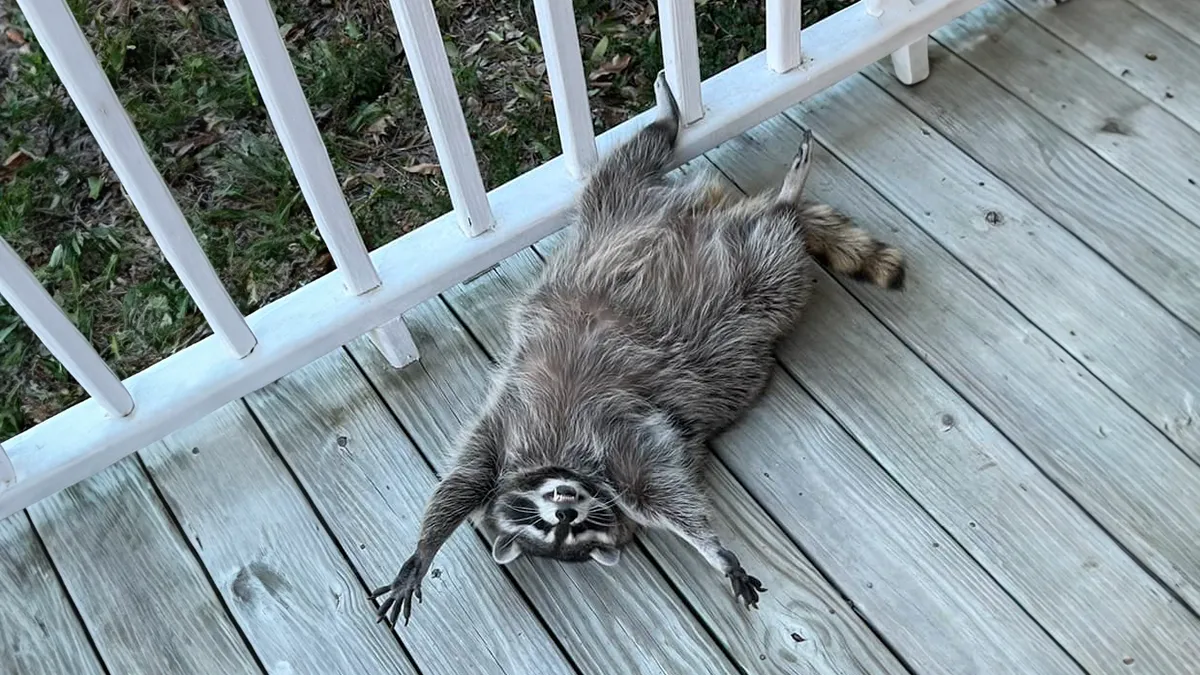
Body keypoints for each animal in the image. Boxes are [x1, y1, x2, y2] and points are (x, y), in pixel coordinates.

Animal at [370, 71, 906, 626]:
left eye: (567, 524)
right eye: (550, 530)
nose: (566, 507)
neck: (563, 459)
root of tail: (707, 211)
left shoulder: (523, 431)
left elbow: (464, 481)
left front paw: (421, 551)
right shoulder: (613, 452)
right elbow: (660, 490)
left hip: (614, 213)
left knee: (628, 165)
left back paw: (710, 147)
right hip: (743, 280)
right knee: (750, 242)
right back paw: (774, 200)